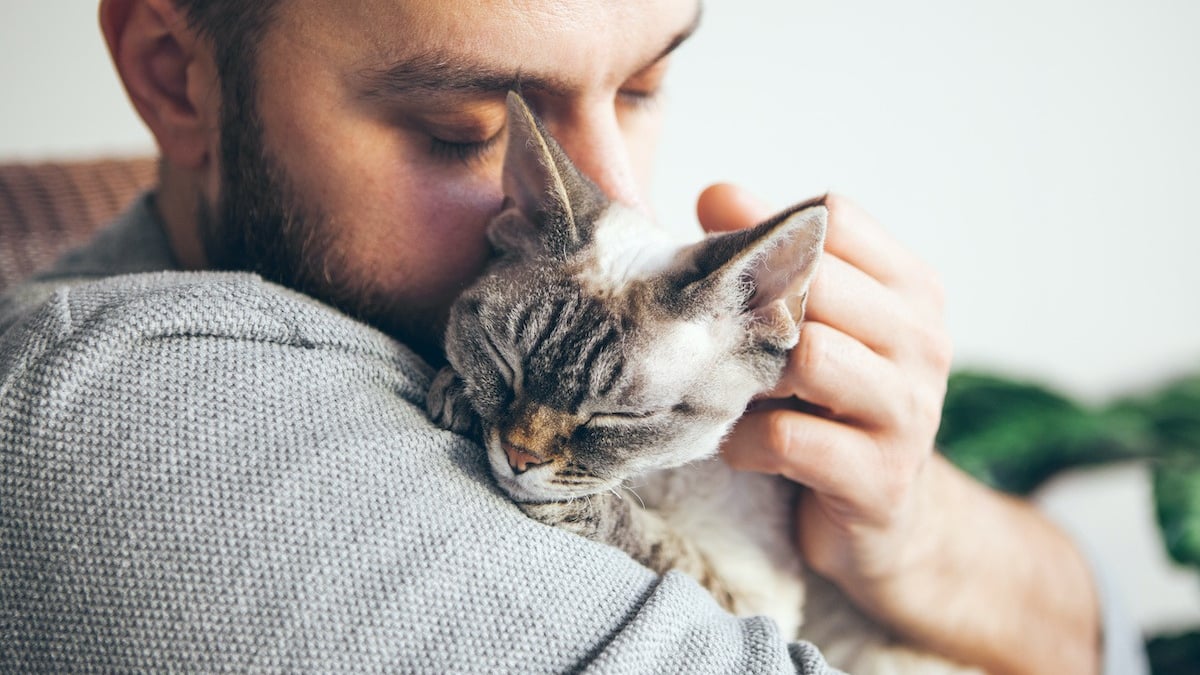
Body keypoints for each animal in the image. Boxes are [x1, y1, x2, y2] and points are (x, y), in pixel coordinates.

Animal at [427, 93, 979, 672]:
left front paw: (583, 504)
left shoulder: (758, 602)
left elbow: (661, 544)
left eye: (621, 417)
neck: (657, 476)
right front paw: (459, 395)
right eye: (502, 361)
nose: (518, 457)